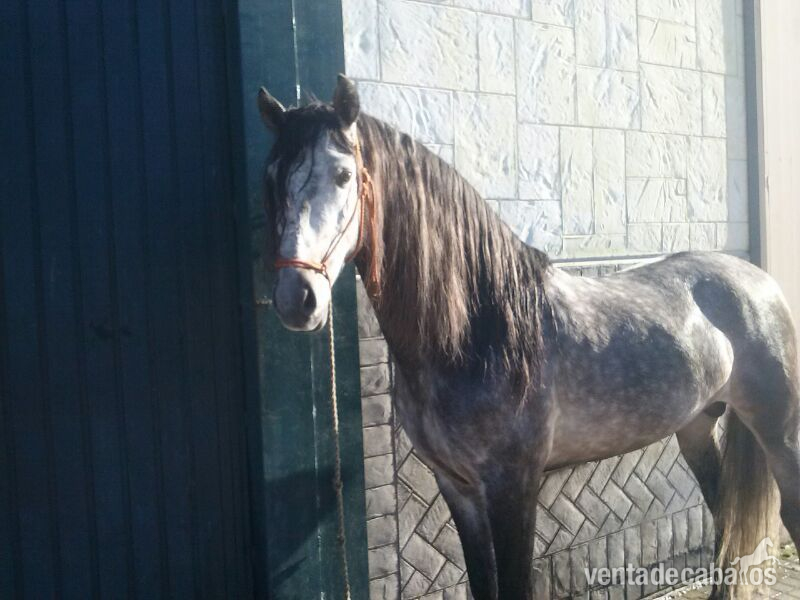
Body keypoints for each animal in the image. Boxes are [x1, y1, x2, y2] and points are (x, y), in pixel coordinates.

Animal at [258, 75, 800, 600]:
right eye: (272, 176)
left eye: (343, 175)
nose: (296, 297)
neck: (474, 332)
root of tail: (759, 279)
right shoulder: (457, 488)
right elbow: (482, 583)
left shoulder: (513, 488)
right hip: (695, 428)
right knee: (724, 517)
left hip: (779, 433)